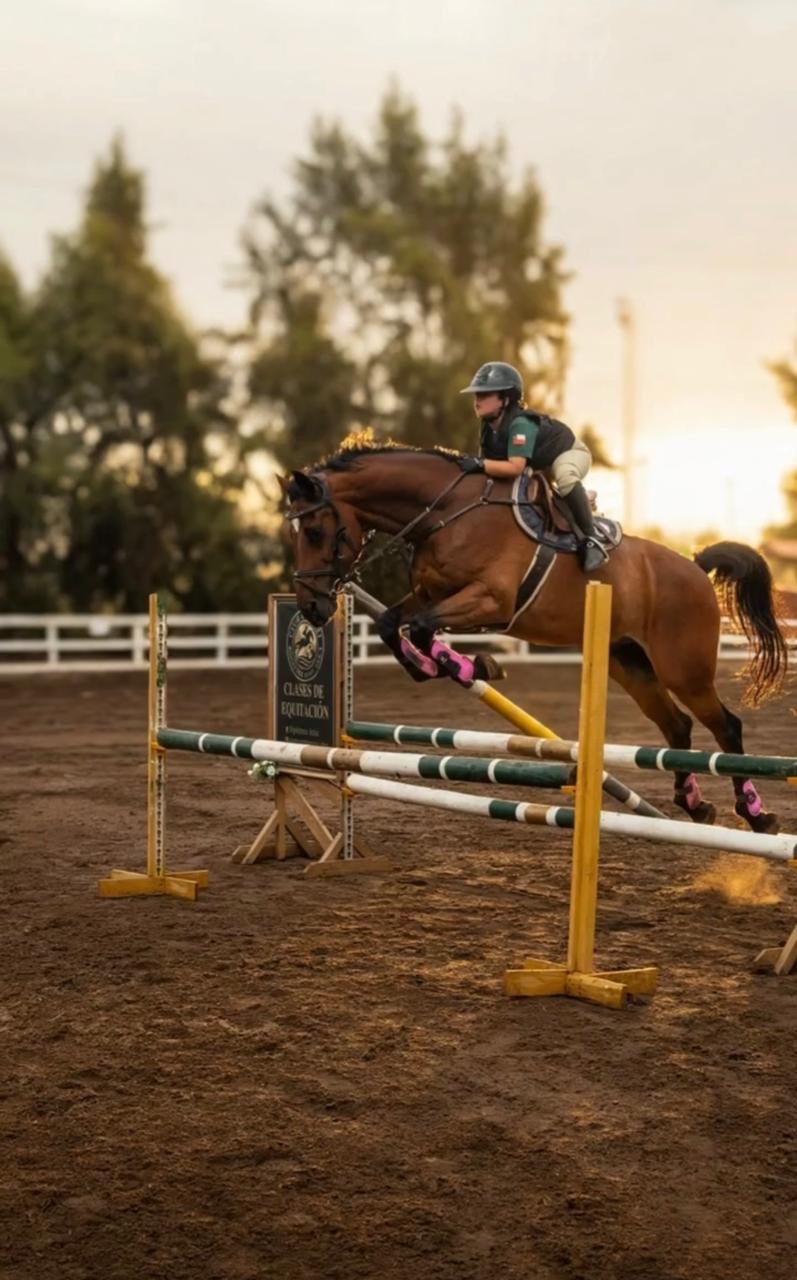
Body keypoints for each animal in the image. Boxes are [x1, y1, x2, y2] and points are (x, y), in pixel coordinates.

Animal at [282, 443, 789, 834]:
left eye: (316, 531)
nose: (311, 607)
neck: (445, 514)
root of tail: (696, 567)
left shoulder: (491, 601)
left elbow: (423, 628)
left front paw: (474, 666)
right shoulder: (430, 594)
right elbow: (393, 624)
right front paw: (443, 667)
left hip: (684, 668)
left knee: (725, 726)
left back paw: (757, 815)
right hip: (628, 663)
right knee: (677, 726)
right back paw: (695, 804)